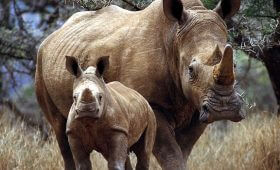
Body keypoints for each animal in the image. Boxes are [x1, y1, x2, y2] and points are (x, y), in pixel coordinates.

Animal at [35, 0, 244, 169]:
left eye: (235, 65)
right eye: (191, 70)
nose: (223, 109)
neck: (174, 38)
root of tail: (53, 35)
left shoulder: (198, 104)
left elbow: (183, 151)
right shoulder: (153, 105)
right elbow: (171, 153)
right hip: (41, 61)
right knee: (60, 128)